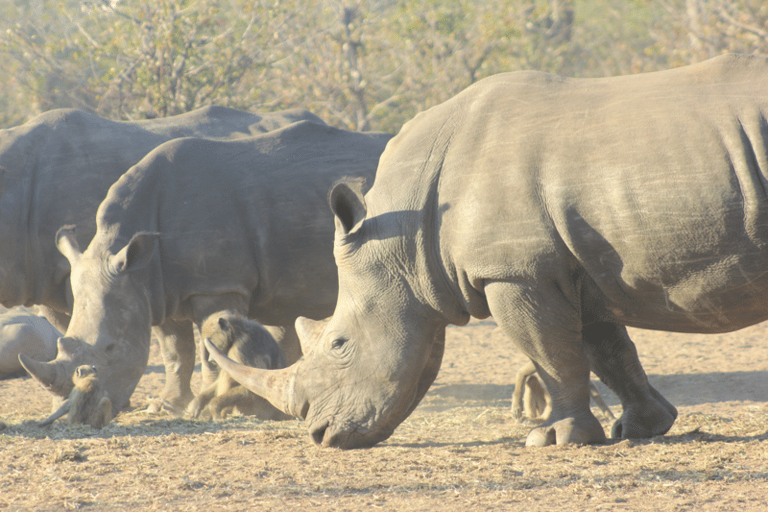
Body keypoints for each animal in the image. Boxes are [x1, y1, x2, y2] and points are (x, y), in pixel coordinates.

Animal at [22, 121, 390, 415]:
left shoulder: (217, 284)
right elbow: (175, 351)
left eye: (111, 348)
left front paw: (210, 406)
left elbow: (210, 352)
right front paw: (167, 407)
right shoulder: (156, 289)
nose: (73, 409)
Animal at [206, 54, 768, 449]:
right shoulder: (569, 265)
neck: (406, 238)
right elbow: (605, 349)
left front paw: (553, 440)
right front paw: (643, 428)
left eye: (339, 344)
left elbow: (549, 352)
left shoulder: (515, 271)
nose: (321, 436)